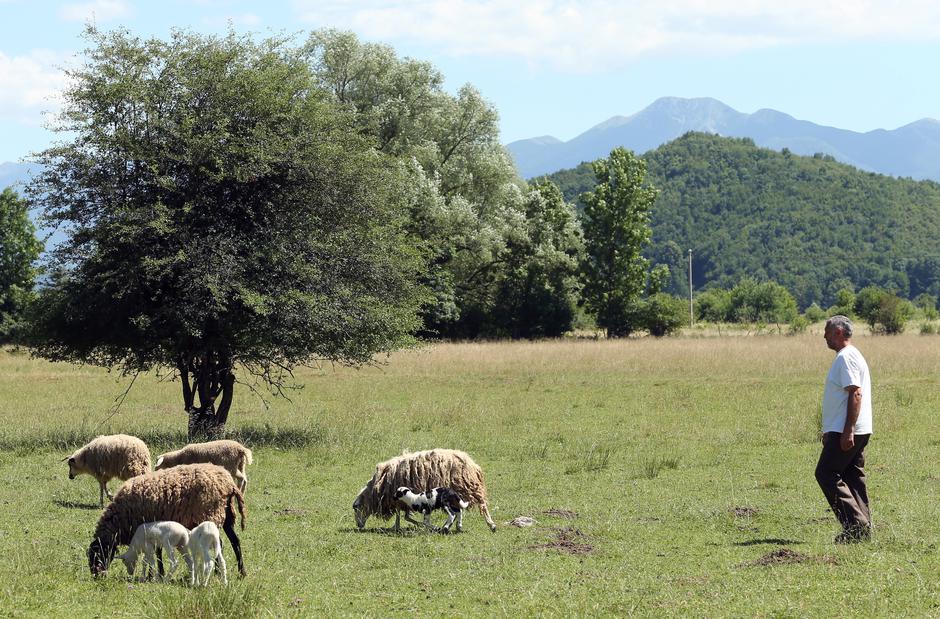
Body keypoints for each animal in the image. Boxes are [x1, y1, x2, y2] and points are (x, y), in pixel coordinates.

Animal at [88, 462, 246, 580]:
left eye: (98, 554)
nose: (96, 575)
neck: (121, 519)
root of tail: (229, 484)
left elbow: (155, 553)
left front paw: (154, 574)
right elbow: (158, 552)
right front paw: (159, 573)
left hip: (211, 515)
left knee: (220, 544)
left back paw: (218, 573)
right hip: (227, 516)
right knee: (235, 541)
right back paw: (241, 572)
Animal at [352, 450, 500, 532]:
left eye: (356, 508)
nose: (359, 525)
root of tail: (473, 465)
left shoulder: (398, 500)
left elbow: (403, 515)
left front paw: (399, 527)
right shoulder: (402, 501)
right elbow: (405, 516)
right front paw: (399, 526)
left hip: (468, 487)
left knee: (482, 505)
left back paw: (491, 525)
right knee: (459, 511)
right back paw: (456, 526)